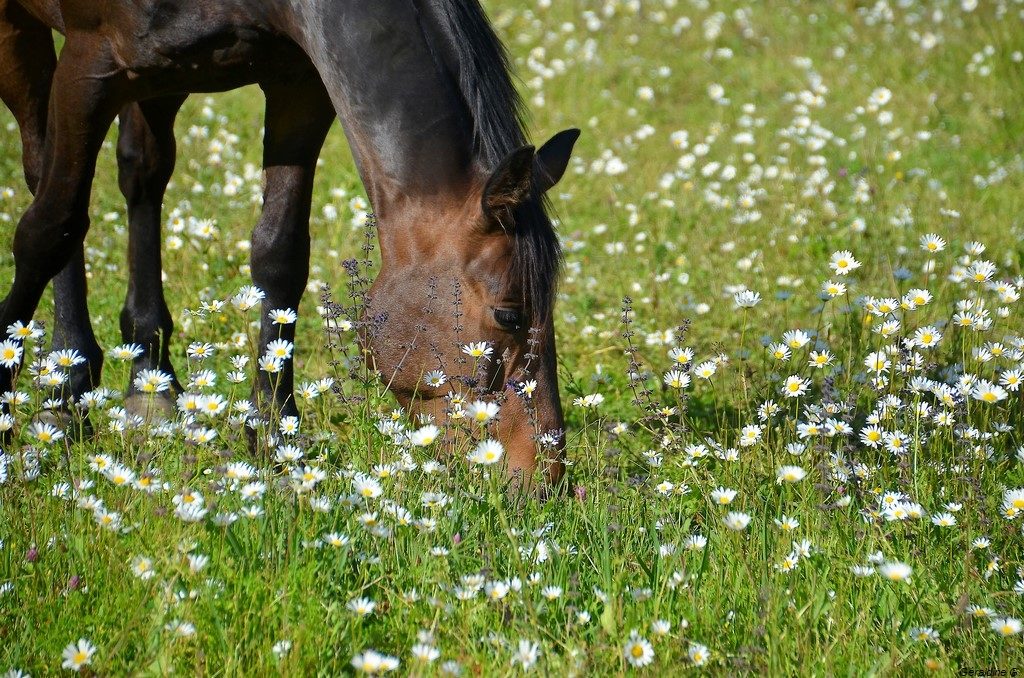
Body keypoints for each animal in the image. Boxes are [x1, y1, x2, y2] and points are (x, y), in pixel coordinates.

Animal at [0, 0, 578, 488]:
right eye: (508, 314)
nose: (543, 477)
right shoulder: (90, 62)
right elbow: (49, 229)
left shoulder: (297, 82)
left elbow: (280, 253)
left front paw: (276, 432)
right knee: (45, 175)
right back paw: (65, 384)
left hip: (161, 78)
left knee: (143, 171)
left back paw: (151, 382)